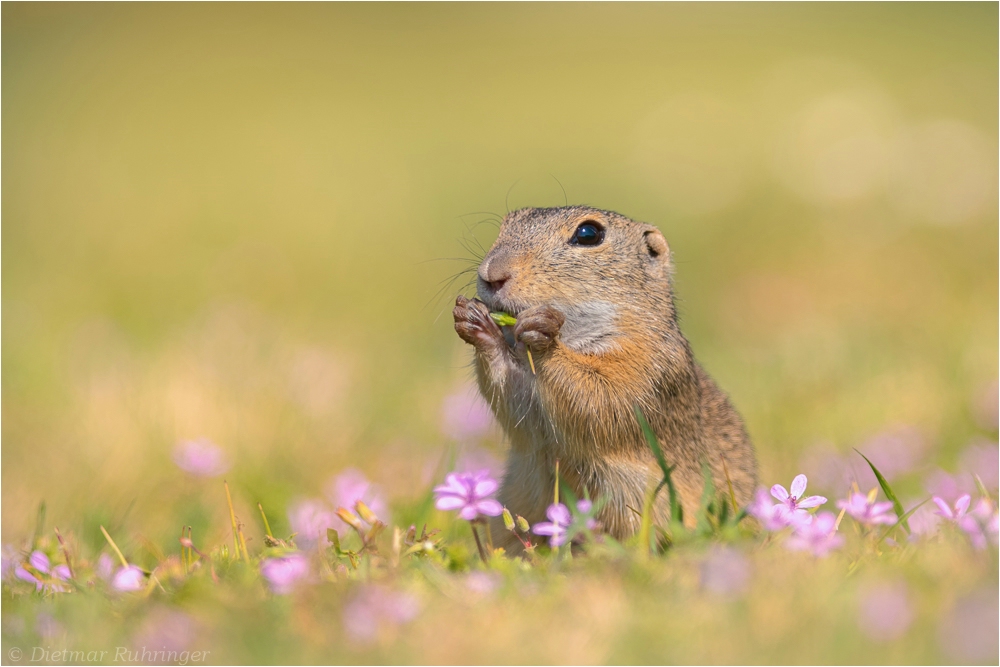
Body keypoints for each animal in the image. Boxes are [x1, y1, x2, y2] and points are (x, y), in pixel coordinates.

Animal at [454, 206, 756, 552]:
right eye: (507, 223)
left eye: (589, 234)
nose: (491, 275)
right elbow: (514, 398)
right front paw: (474, 321)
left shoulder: (646, 366)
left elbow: (601, 396)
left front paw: (542, 332)